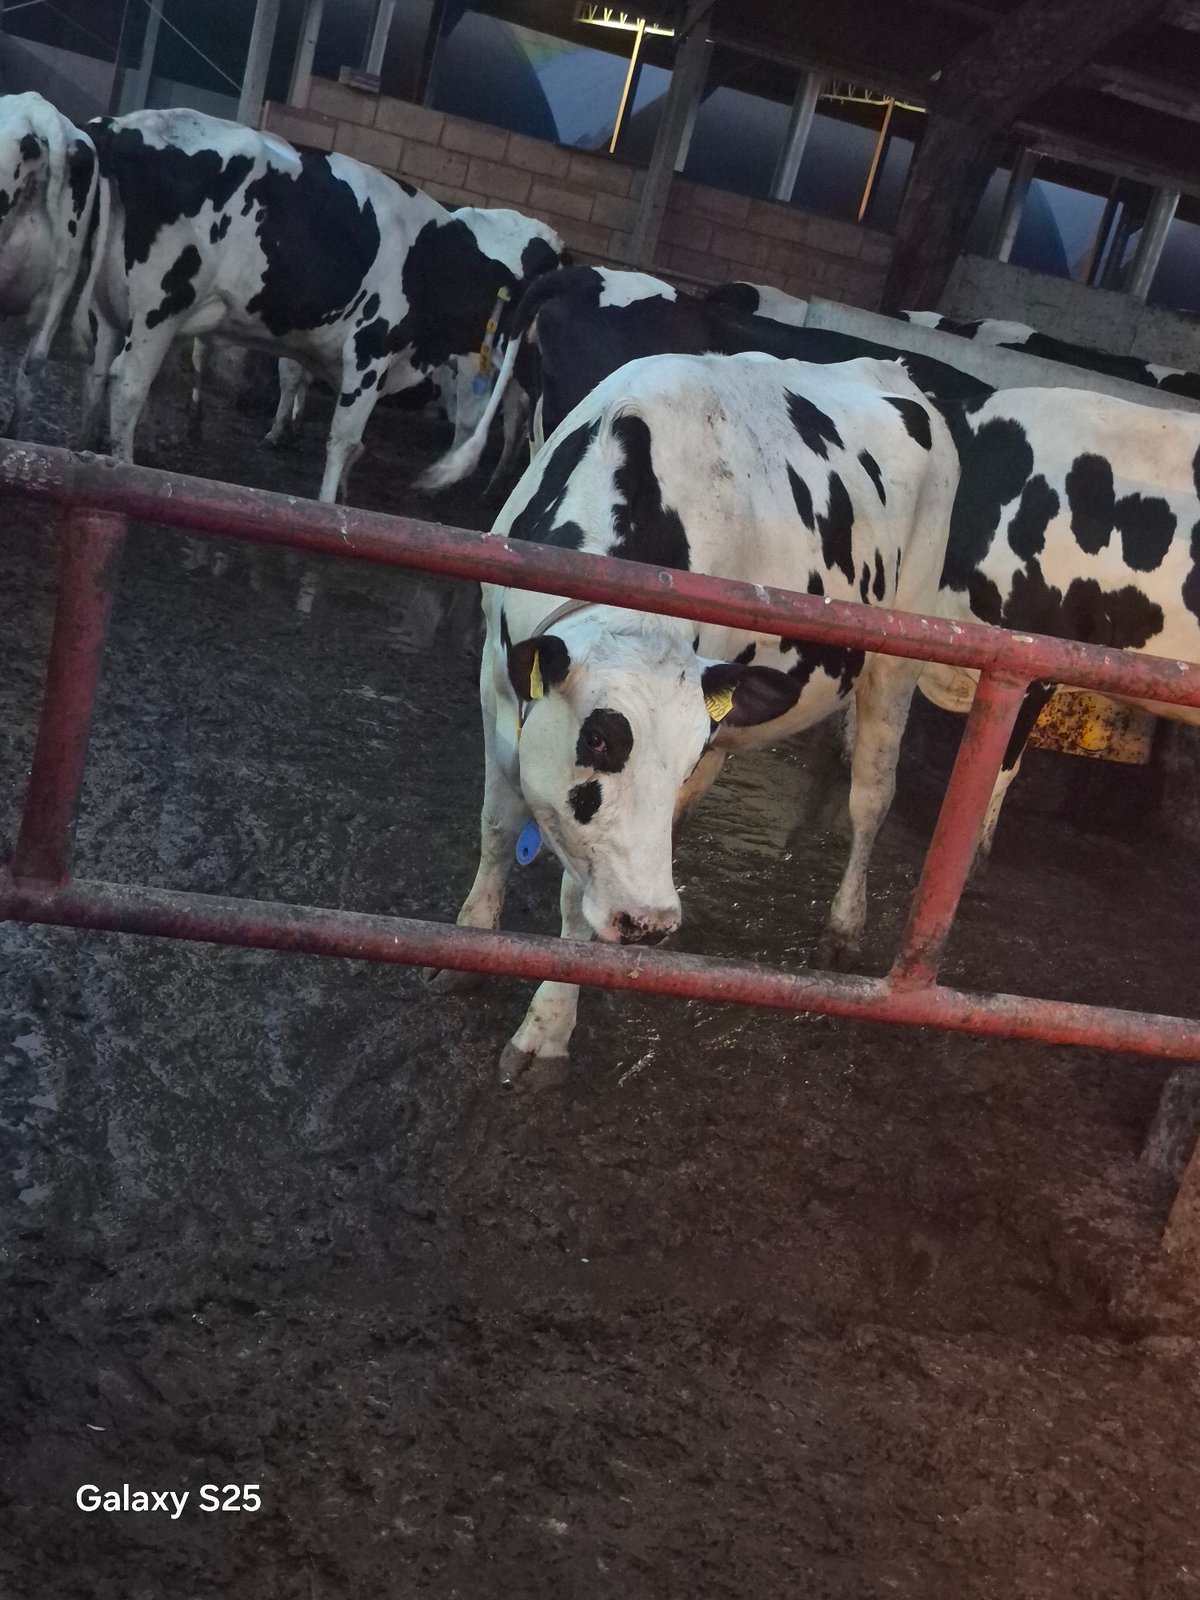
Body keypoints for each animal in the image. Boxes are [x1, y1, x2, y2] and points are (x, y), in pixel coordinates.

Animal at [72, 110, 563, 502]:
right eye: (529, 321)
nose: (538, 370)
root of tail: (119, 126)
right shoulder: (371, 348)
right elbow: (344, 438)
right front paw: (328, 505)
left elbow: (347, 432)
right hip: (160, 308)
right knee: (127, 384)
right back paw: (125, 465)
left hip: (110, 302)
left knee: (97, 374)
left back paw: (84, 444)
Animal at [434, 350, 959, 1081]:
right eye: (599, 738)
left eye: (676, 753)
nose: (651, 923)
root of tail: (896, 369)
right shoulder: (496, 682)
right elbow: (495, 826)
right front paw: (469, 941)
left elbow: (575, 895)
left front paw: (547, 1028)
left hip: (899, 654)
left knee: (871, 797)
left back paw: (843, 927)